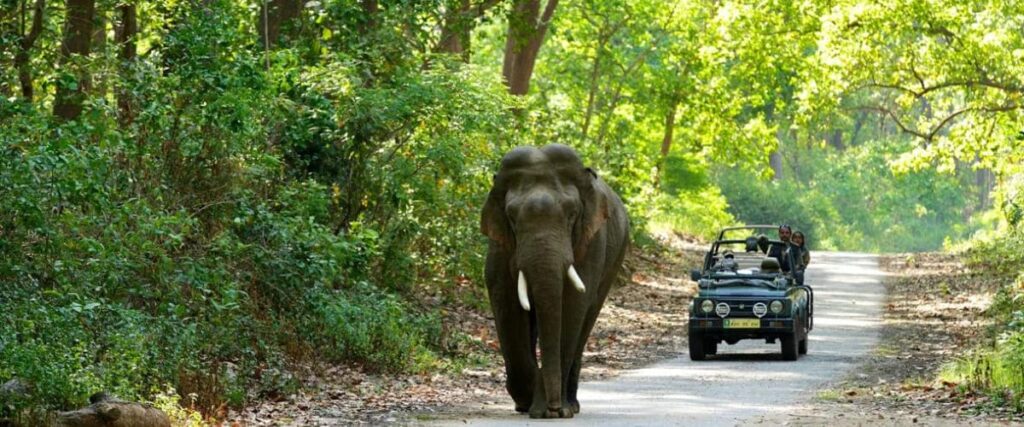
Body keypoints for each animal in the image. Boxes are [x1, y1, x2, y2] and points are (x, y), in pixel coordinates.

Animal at [481, 143, 630, 415]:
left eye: (572, 214)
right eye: (512, 216)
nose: (552, 407)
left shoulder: (591, 243)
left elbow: (571, 305)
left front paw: (552, 411)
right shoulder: (499, 244)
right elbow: (506, 302)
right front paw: (530, 401)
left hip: (614, 260)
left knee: (586, 321)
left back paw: (571, 404)